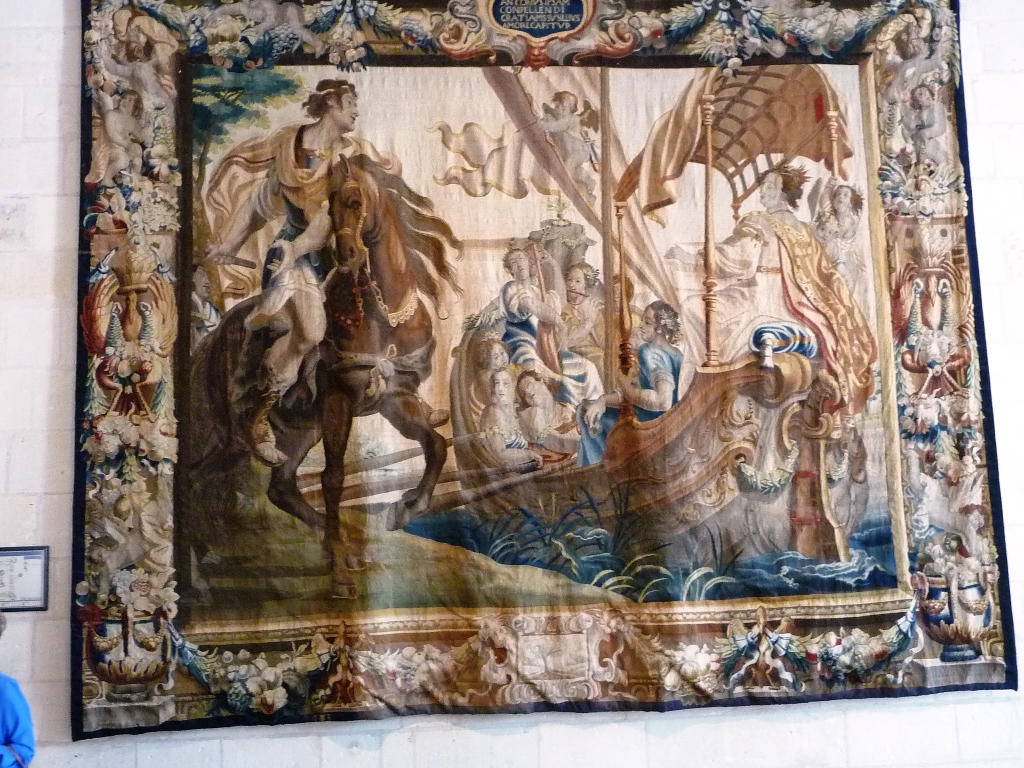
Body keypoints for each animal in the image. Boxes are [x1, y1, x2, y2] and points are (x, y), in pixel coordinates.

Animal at [181, 154, 461, 598]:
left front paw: (404, 508)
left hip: (293, 433)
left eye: (354, 201)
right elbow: (333, 478)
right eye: (332, 205)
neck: (383, 316)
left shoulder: (393, 399)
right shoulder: (337, 402)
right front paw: (341, 576)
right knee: (191, 481)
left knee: (279, 486)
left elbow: (435, 446)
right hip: (218, 437)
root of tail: (207, 346)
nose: (346, 252)